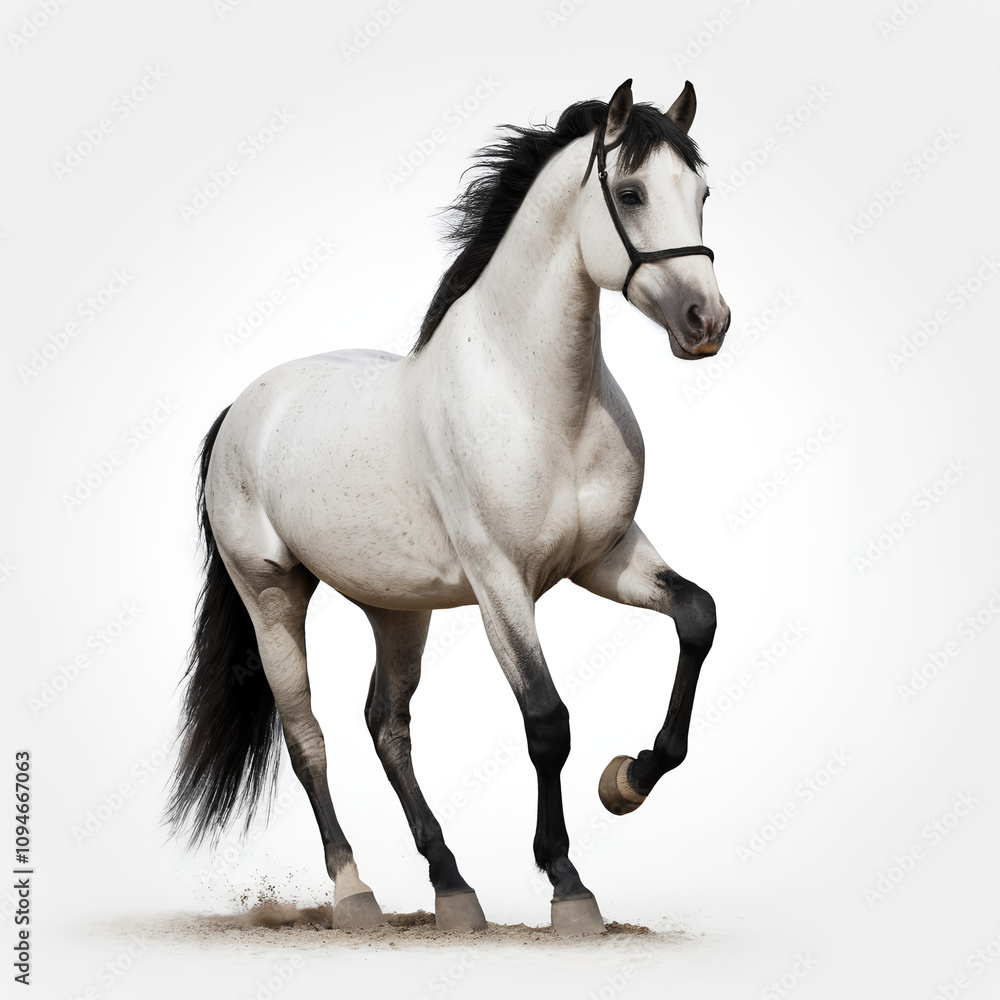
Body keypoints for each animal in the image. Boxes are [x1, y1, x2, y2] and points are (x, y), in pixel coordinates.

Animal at [167, 79, 730, 936]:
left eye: (701, 195)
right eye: (632, 192)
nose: (708, 323)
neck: (537, 399)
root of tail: (244, 406)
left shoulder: (608, 557)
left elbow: (697, 616)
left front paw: (627, 782)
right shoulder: (502, 585)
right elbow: (546, 721)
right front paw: (568, 886)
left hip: (397, 607)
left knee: (386, 725)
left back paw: (454, 888)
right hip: (271, 593)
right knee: (308, 735)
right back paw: (355, 893)